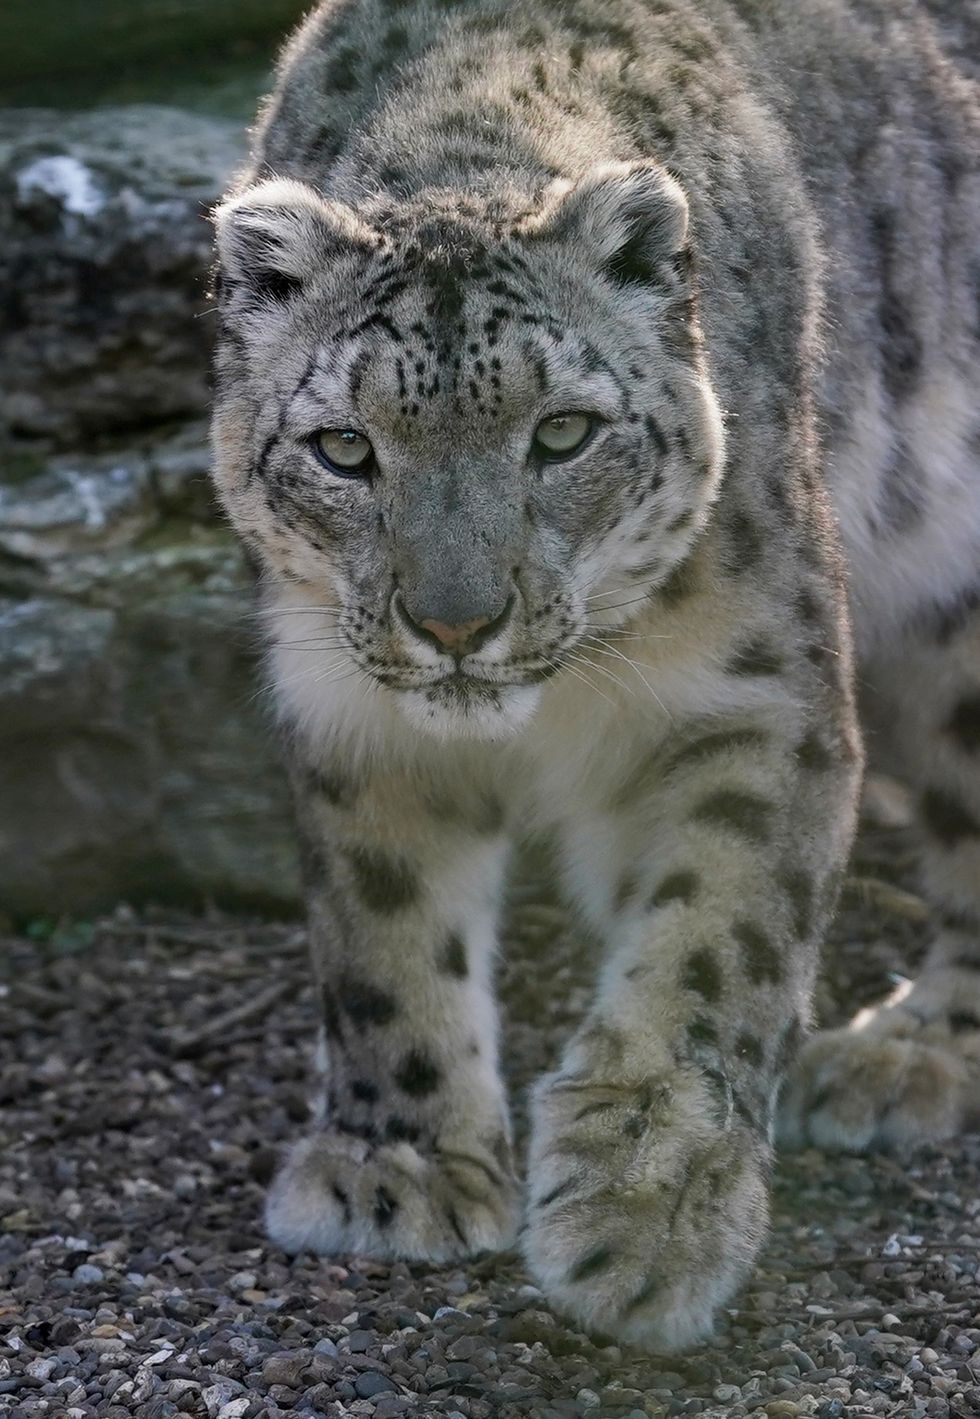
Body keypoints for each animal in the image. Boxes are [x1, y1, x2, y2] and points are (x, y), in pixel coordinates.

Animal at [209, 0, 980, 1352]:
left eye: (561, 431)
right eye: (343, 448)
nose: (455, 624)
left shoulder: (754, 694)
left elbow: (712, 940)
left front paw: (643, 1210)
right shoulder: (349, 711)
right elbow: (379, 929)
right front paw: (399, 1168)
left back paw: (904, 1054)